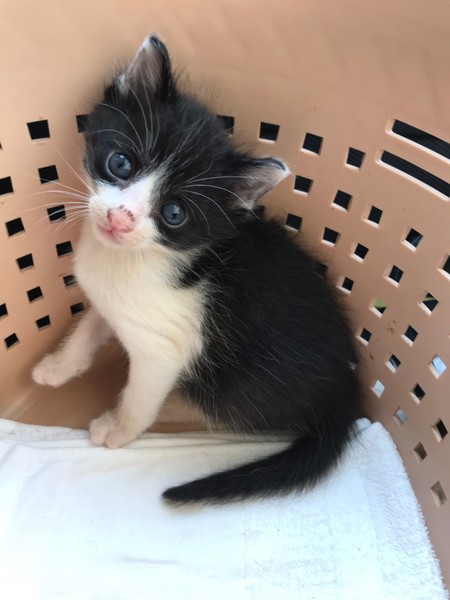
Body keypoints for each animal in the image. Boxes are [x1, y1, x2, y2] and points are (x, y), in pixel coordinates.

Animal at [32, 35, 363, 504]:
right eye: (120, 163)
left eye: (174, 213)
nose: (119, 219)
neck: (134, 258)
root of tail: (345, 395)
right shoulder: (111, 301)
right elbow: (90, 326)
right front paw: (59, 365)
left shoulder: (166, 346)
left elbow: (142, 393)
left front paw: (120, 427)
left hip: (239, 382)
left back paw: (173, 405)